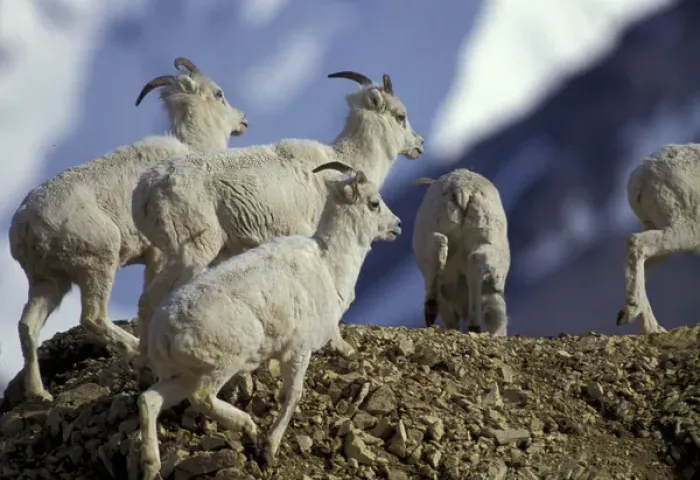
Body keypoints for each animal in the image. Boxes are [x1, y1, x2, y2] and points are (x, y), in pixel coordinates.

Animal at [8, 57, 248, 402]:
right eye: (219, 94)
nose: (243, 121)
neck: (191, 148)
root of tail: (24, 226)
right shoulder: (160, 255)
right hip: (97, 264)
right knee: (92, 317)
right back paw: (134, 350)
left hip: (49, 281)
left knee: (28, 326)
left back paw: (40, 394)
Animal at [132, 70, 423, 368]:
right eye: (400, 115)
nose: (419, 144)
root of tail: (146, 190)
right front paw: (342, 347)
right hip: (192, 253)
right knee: (150, 300)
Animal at [138, 161, 401, 479]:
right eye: (374, 203)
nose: (398, 225)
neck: (328, 265)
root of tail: (162, 332)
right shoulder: (298, 352)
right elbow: (292, 396)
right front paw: (268, 450)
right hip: (219, 367)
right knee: (201, 398)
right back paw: (248, 427)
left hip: (181, 376)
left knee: (149, 401)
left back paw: (151, 466)